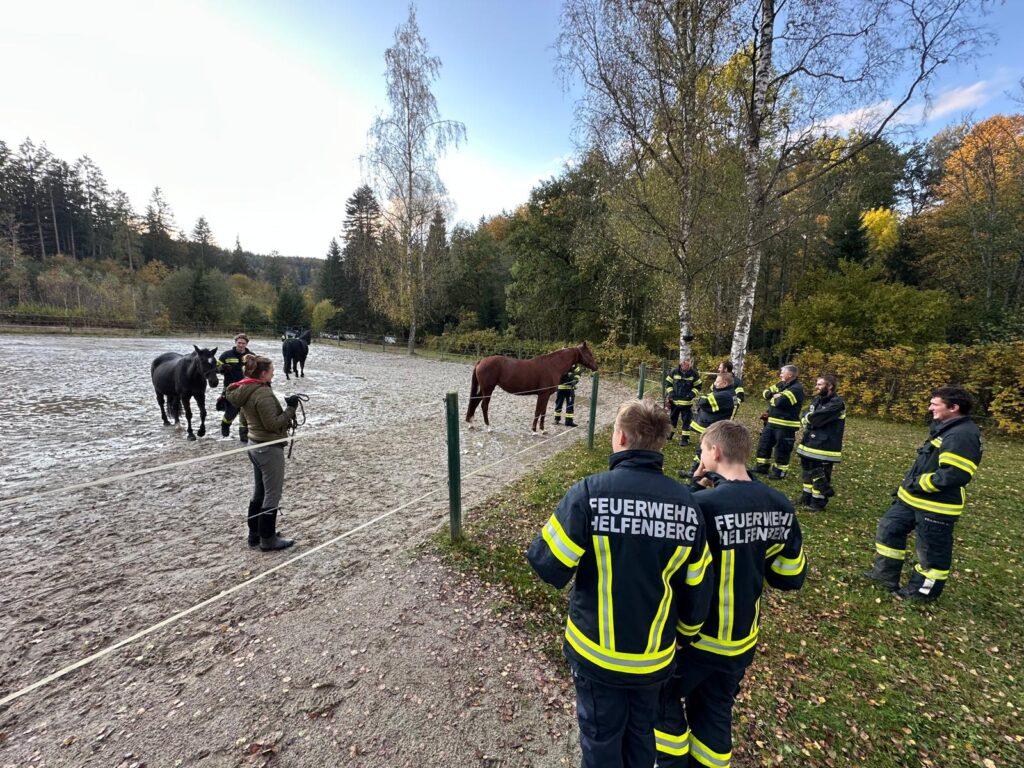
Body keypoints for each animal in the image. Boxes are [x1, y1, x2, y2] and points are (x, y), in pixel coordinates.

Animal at [466, 342, 598, 434]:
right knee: (484, 406)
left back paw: (471, 423)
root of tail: (481, 361)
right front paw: (534, 431)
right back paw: (488, 427)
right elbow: (538, 411)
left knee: (475, 401)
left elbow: (543, 412)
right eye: (589, 353)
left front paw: (543, 430)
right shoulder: (543, 394)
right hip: (488, 389)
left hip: (484, 389)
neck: (552, 365)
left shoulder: (546, 395)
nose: (596, 367)